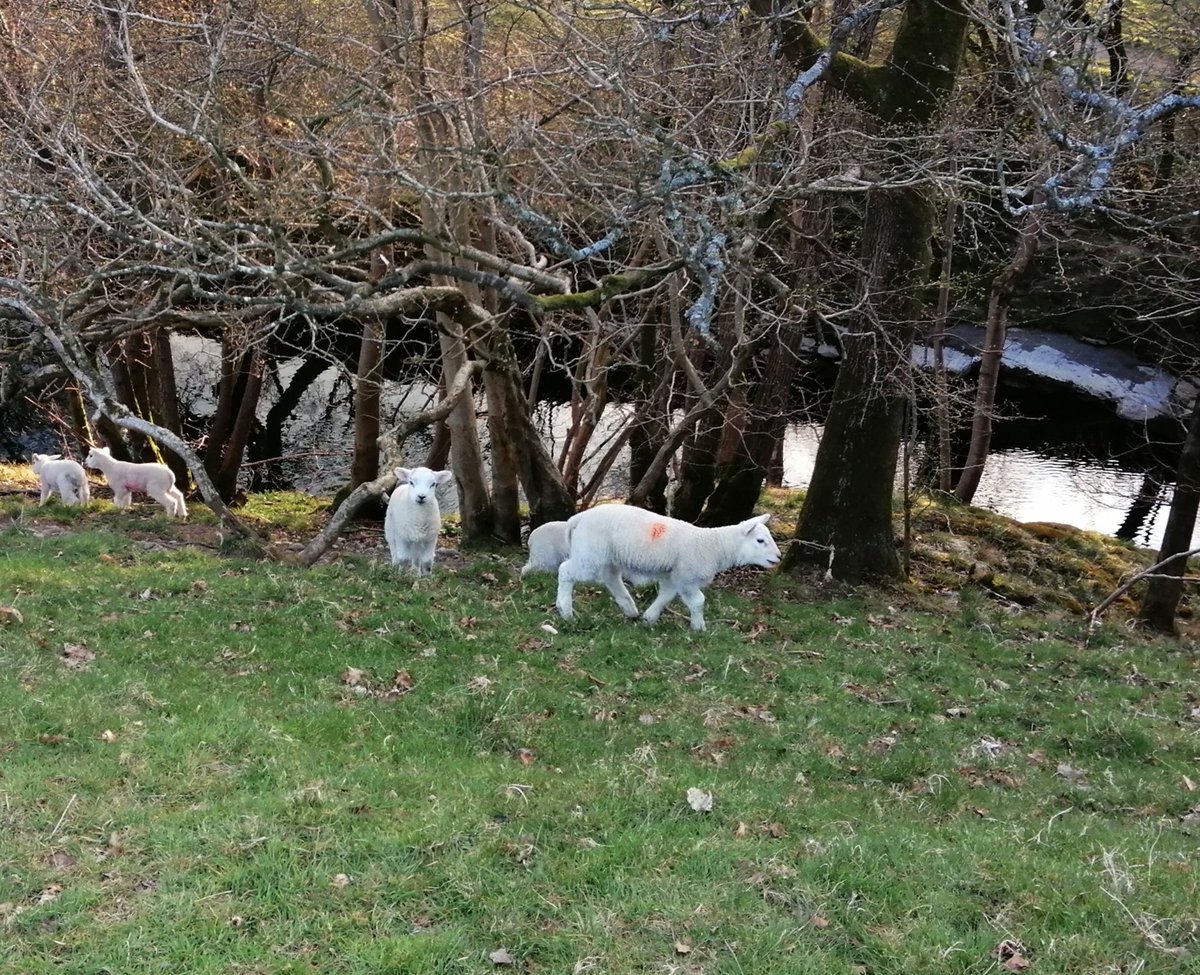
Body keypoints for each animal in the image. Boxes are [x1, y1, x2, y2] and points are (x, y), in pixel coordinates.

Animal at [555, 504, 781, 631]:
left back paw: (630, 610)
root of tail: (578, 518)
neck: (714, 545)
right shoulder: (687, 576)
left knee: (611, 578)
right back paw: (565, 610)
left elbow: (665, 596)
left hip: (605, 556)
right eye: (760, 540)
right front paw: (699, 628)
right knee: (565, 571)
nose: (778, 557)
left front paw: (649, 618)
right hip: (590, 554)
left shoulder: (676, 576)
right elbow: (698, 601)